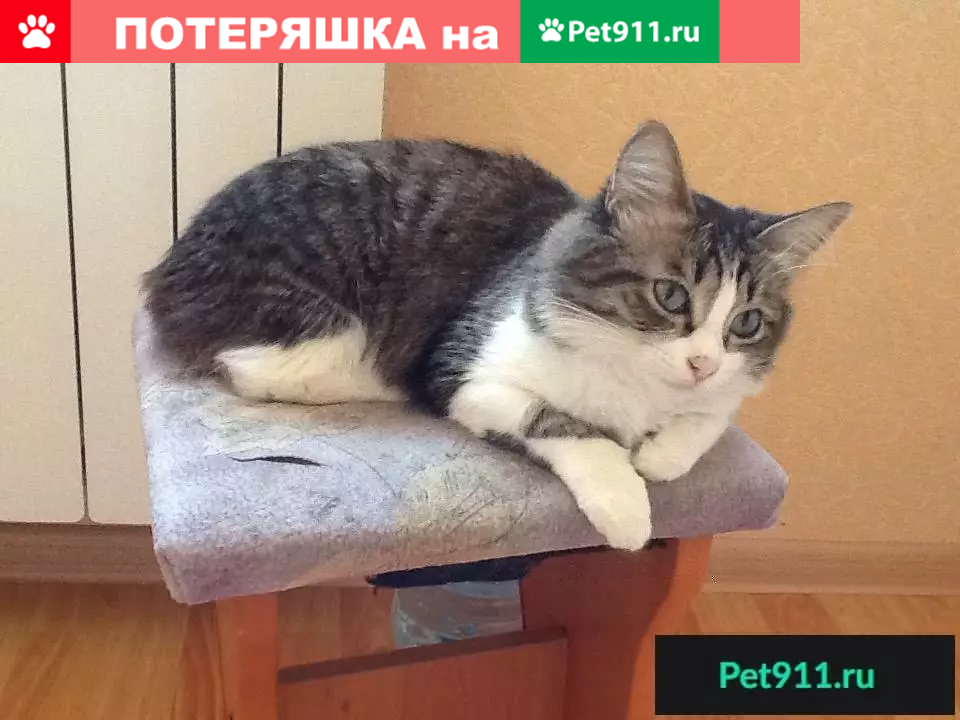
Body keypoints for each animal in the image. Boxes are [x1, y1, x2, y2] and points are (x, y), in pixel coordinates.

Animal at [143, 121, 851, 550]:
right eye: (671, 295)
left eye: (746, 323)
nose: (702, 362)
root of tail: (170, 260)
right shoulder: (466, 372)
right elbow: (570, 425)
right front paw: (625, 503)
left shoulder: (725, 393)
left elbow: (707, 421)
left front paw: (658, 453)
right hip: (316, 317)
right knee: (259, 365)